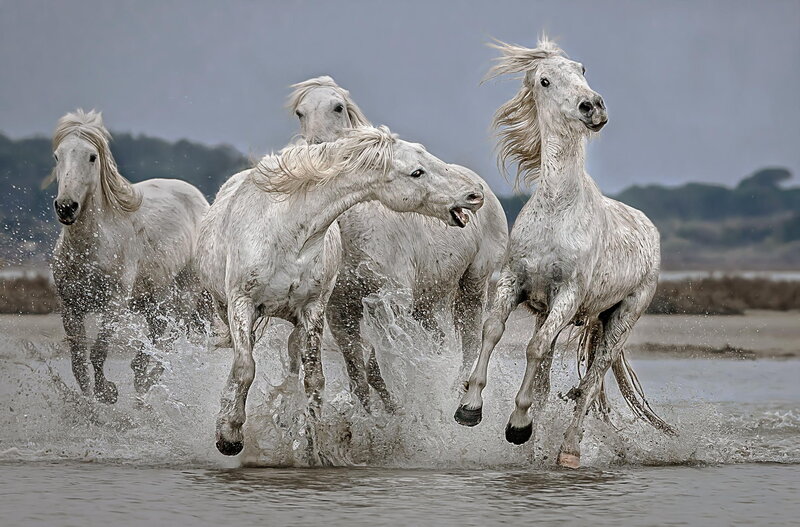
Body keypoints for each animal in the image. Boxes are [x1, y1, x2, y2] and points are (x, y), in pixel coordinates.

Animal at [50, 109, 210, 403]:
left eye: (92, 157)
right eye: (58, 156)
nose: (66, 207)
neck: (89, 247)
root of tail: (202, 201)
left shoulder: (114, 303)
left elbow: (98, 351)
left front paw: (107, 392)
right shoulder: (71, 306)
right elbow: (78, 362)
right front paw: (88, 401)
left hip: (186, 292)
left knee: (171, 337)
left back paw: (147, 380)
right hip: (155, 298)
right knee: (159, 332)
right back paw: (141, 379)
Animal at [195, 125, 486, 461]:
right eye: (416, 172)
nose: (475, 195)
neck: (287, 232)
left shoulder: (314, 309)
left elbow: (313, 380)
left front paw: (311, 449)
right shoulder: (242, 304)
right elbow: (244, 368)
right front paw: (229, 436)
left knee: (294, 357)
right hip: (228, 308)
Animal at [289, 76, 509, 413]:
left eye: (337, 107)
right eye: (300, 112)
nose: (316, 151)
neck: (356, 230)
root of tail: (485, 190)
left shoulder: (391, 301)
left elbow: (378, 363)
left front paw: (401, 407)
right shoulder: (341, 312)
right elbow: (360, 373)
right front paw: (377, 413)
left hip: (472, 285)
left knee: (470, 342)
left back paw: (458, 397)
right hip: (425, 303)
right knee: (439, 340)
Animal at [454, 37, 674, 468]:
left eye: (582, 69)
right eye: (544, 80)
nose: (593, 107)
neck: (558, 208)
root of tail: (650, 230)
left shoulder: (568, 297)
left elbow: (535, 349)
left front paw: (517, 427)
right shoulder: (514, 282)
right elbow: (493, 330)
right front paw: (470, 408)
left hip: (622, 319)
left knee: (591, 382)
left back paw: (568, 452)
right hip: (562, 315)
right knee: (554, 379)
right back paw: (535, 451)